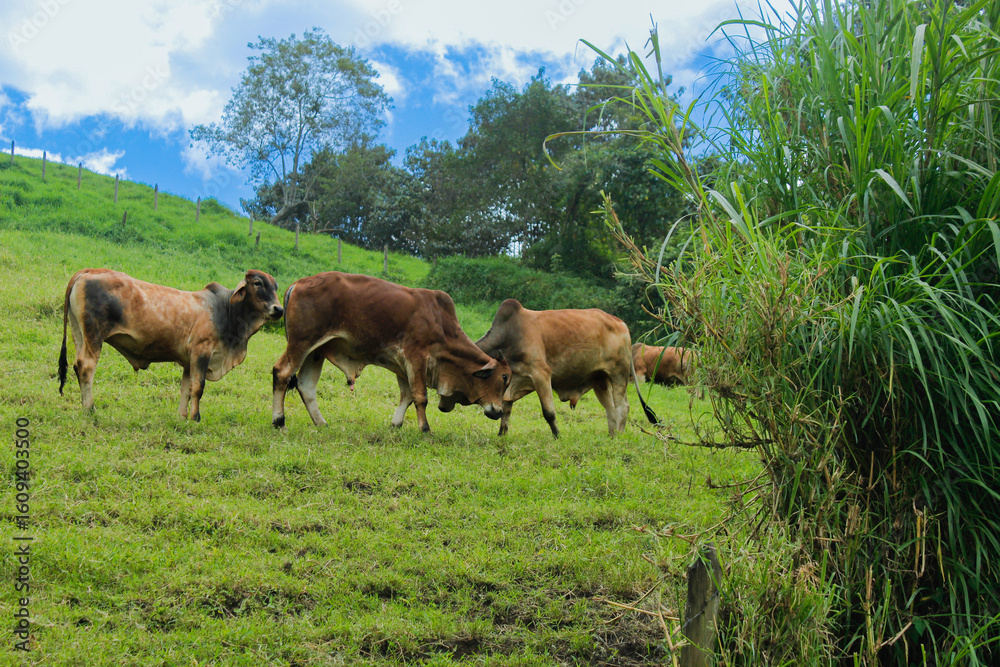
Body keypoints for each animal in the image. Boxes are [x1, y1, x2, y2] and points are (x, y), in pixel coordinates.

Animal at [58, 269, 283, 421]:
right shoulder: (202, 352)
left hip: (79, 334)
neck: (226, 310)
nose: (279, 309)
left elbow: (185, 389)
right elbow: (198, 387)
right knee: (86, 367)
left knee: (78, 365)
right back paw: (90, 408)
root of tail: (88, 271)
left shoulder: (188, 362)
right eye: (257, 283)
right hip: (94, 337)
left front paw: (182, 417)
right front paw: (195, 418)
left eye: (276, 287)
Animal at [270, 271, 511, 432]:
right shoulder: (416, 356)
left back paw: (321, 423)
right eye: (503, 378)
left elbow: (407, 396)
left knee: (306, 386)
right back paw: (279, 421)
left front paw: (396, 424)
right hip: (302, 342)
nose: (499, 411)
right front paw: (425, 429)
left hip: (316, 350)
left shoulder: (402, 364)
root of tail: (298, 284)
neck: (442, 325)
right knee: (281, 373)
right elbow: (420, 396)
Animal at [470, 299, 658, 437]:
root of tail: (620, 322)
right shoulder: (513, 383)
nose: (491, 412)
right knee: (610, 409)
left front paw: (557, 436)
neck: (508, 337)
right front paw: (501, 435)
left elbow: (549, 412)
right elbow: (506, 412)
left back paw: (619, 435)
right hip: (600, 380)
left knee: (622, 407)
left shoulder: (541, 374)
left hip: (618, 374)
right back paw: (612, 436)